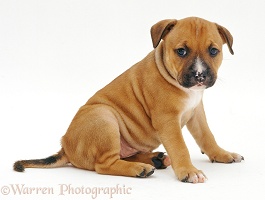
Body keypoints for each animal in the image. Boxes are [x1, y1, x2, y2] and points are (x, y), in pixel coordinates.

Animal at [13, 17, 242, 183]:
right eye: (181, 51)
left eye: (213, 51)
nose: (199, 75)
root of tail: (65, 146)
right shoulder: (168, 120)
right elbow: (180, 147)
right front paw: (189, 171)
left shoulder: (196, 113)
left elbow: (207, 136)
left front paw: (222, 154)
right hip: (104, 117)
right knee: (104, 164)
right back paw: (140, 168)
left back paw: (154, 159)